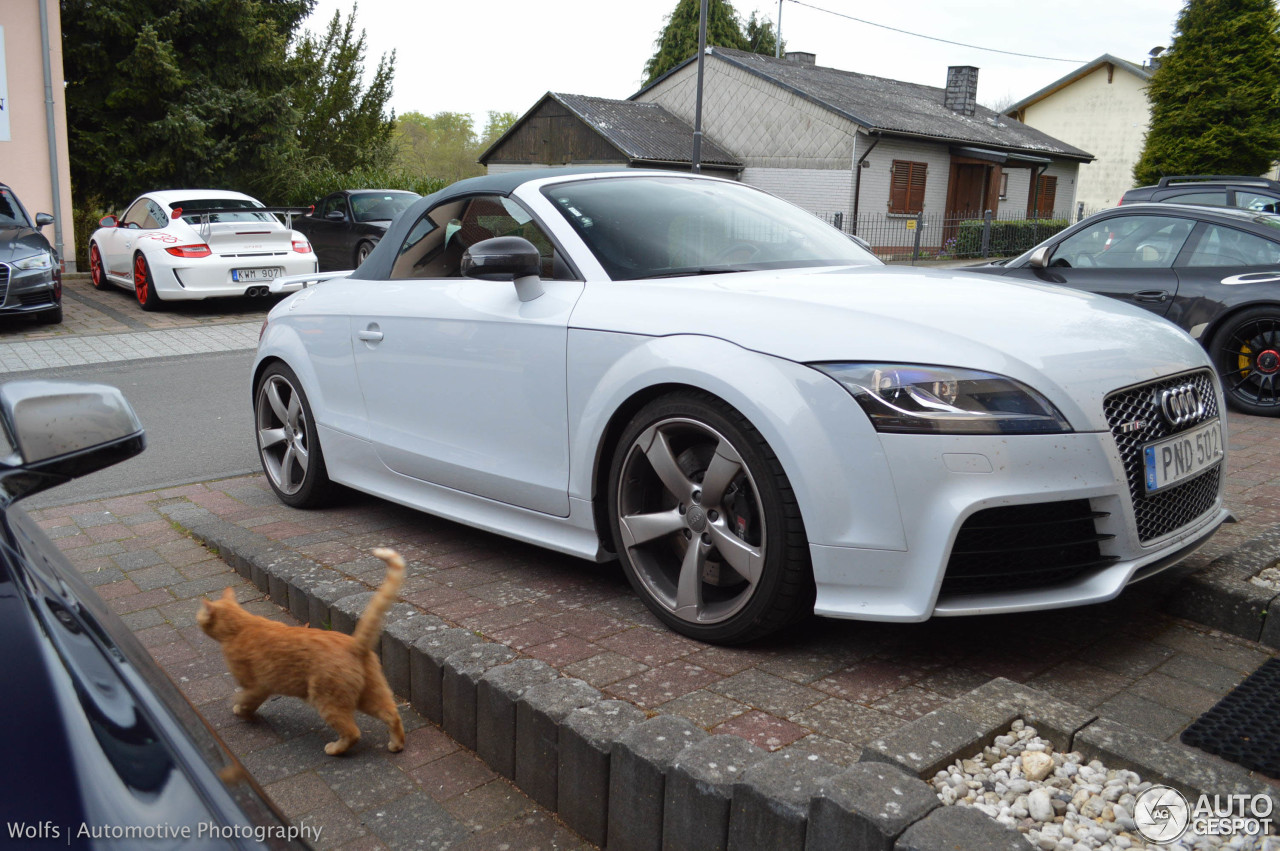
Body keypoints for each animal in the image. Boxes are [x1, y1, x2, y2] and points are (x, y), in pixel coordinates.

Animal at [197, 547, 404, 752]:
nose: (197, 617)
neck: (240, 625)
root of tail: (354, 644)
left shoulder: (256, 686)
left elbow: (244, 701)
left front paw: (241, 712)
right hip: (370, 694)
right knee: (392, 715)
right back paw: (396, 744)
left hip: (327, 701)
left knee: (353, 732)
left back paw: (334, 749)